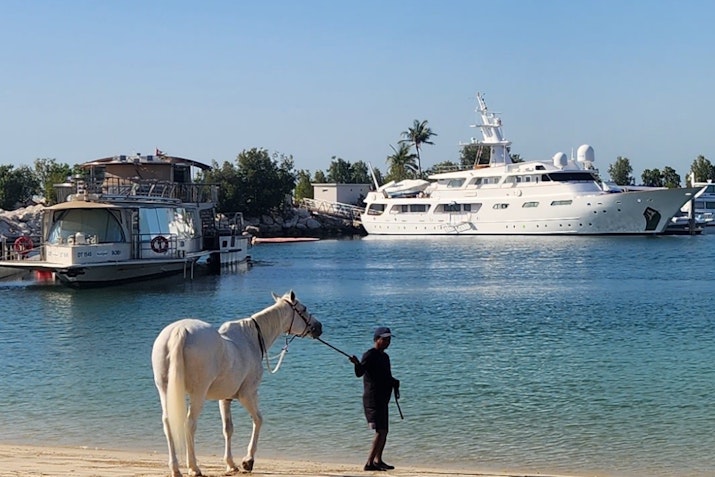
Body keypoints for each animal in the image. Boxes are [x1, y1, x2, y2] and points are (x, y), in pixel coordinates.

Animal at [151, 290, 322, 477]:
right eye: (303, 309)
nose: (318, 327)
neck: (251, 339)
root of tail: (180, 331)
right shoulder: (248, 394)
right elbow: (258, 420)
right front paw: (248, 461)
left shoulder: (225, 398)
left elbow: (228, 429)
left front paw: (231, 464)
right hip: (198, 393)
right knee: (189, 424)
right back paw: (194, 467)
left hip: (165, 390)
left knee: (168, 423)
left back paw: (175, 468)